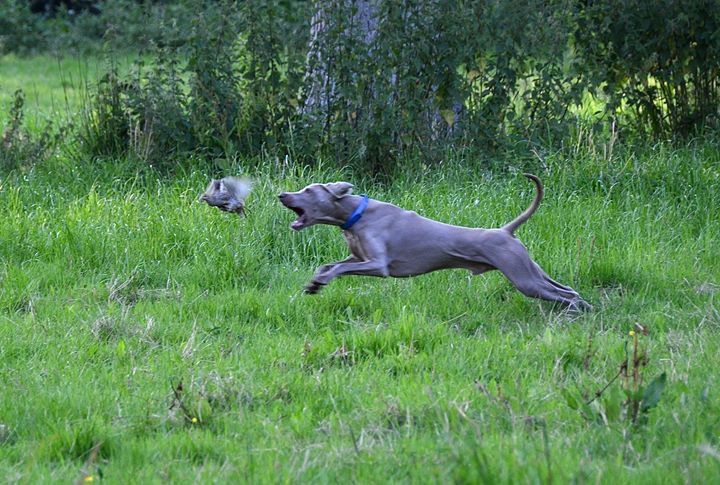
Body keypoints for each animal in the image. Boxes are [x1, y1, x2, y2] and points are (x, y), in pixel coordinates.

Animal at [279, 174, 591, 311]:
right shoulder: (358, 257)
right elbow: (331, 264)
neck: (355, 213)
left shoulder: (378, 265)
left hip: (523, 277)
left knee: (565, 295)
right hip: (530, 269)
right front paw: (315, 283)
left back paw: (575, 312)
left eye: (308, 190)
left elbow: (340, 269)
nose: (281, 194)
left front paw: (322, 281)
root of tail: (505, 231)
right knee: (568, 289)